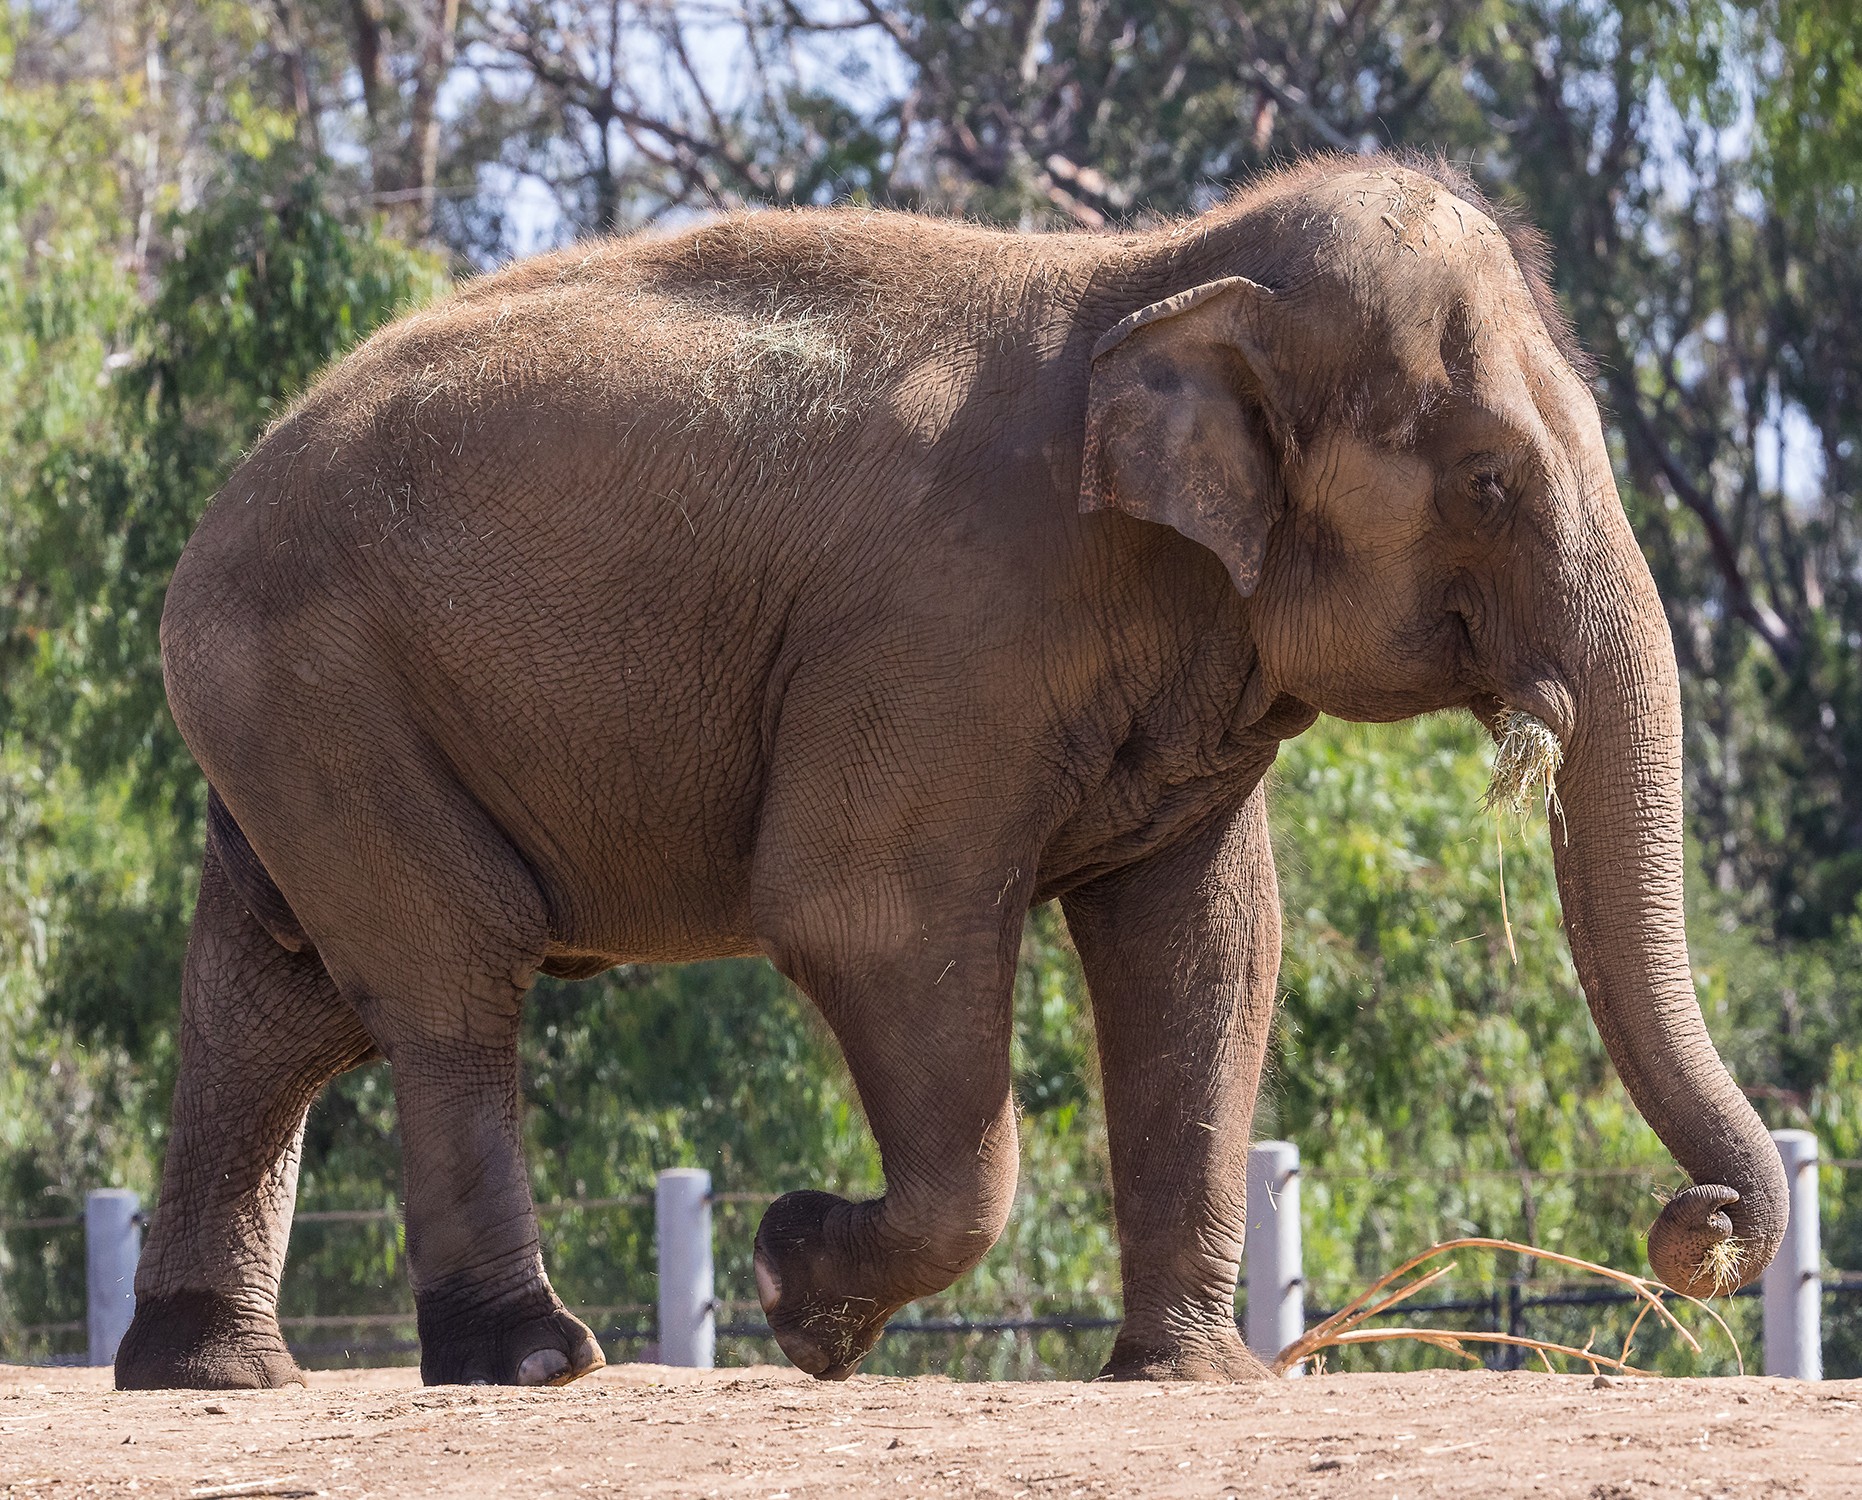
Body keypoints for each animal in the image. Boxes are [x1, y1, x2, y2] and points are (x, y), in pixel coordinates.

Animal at [117, 151, 1787, 1391]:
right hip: (321, 687)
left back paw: (213, 1371)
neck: (1155, 268)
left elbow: (1206, 948)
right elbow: (865, 915)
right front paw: (796, 1290)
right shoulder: (937, 634)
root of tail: (209, 512)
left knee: (277, 995)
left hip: (297, 716)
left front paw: (1189, 1381)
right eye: (1488, 481)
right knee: (451, 975)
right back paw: (532, 1361)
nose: (1695, 1228)